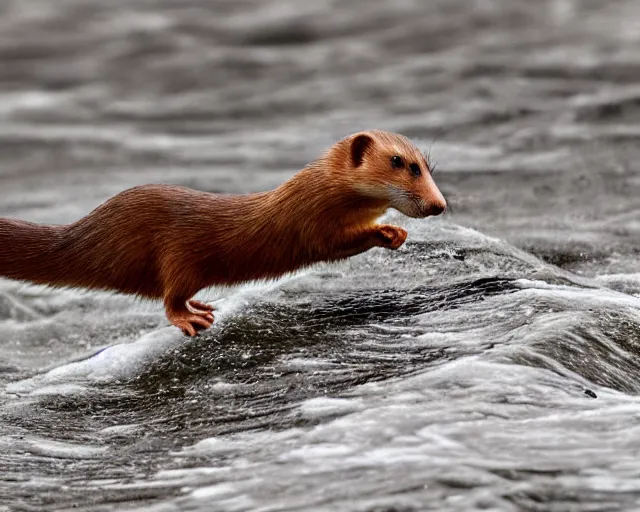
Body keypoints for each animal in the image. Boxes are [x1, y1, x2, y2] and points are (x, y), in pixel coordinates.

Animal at [0, 131, 444, 336]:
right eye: (400, 162)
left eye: (427, 165)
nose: (438, 205)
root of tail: (90, 228)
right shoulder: (311, 224)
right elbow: (333, 243)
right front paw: (388, 230)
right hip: (178, 258)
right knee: (169, 296)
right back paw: (190, 317)